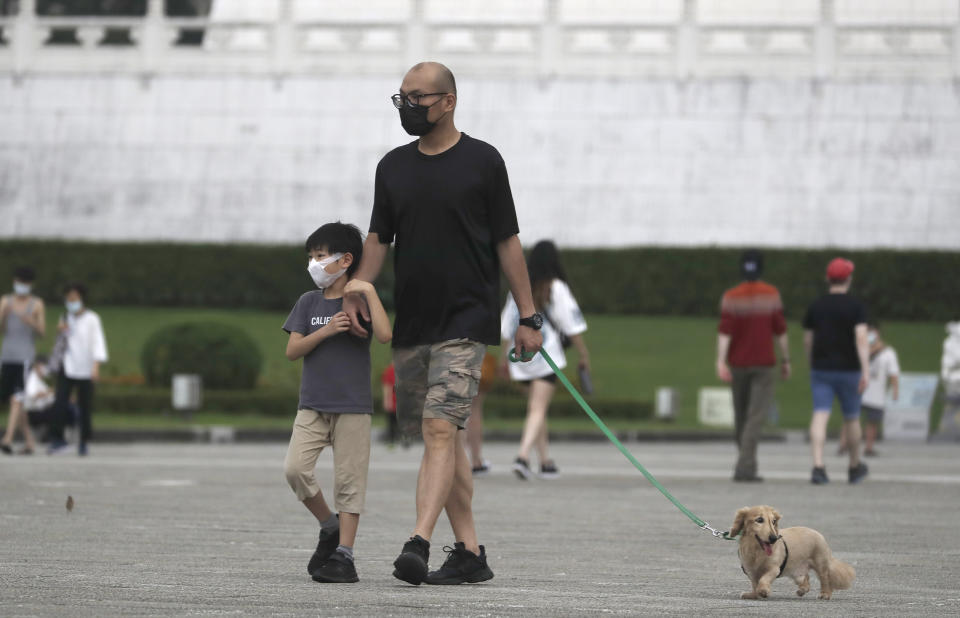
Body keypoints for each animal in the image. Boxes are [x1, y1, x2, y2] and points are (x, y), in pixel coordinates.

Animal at [732, 506, 860, 596]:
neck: (757, 552)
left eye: (773, 521)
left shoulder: (774, 569)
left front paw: (763, 590)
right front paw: (753, 594)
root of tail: (818, 533)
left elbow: (764, 578)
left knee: (825, 578)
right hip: (796, 572)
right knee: (806, 579)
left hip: (820, 564)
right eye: (759, 519)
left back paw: (825, 594)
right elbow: (754, 584)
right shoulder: (751, 572)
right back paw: (802, 590)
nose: (774, 538)